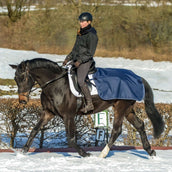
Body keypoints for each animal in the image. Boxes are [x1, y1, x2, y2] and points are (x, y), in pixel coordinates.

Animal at [10, 58, 165, 158]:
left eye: (24, 78)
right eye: (15, 79)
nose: (22, 101)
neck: (55, 84)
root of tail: (137, 77)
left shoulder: (68, 116)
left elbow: (71, 139)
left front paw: (84, 153)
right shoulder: (48, 113)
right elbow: (34, 130)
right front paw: (23, 151)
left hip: (121, 106)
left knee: (117, 130)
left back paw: (103, 154)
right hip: (128, 109)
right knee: (140, 125)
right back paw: (150, 151)